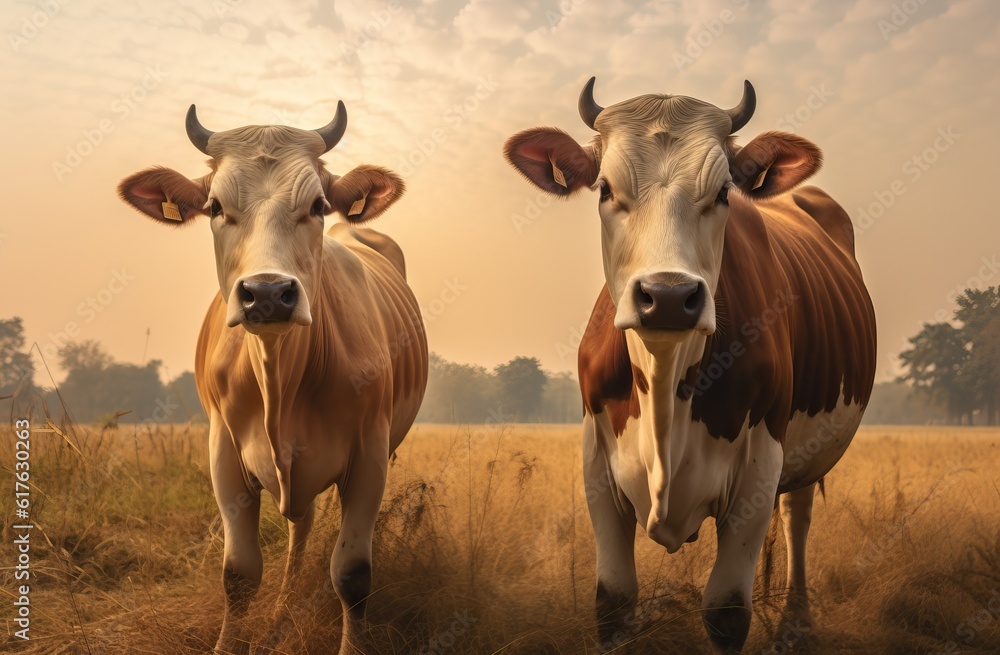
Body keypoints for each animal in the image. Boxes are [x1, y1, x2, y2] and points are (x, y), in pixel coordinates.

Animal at [118, 102, 430, 655]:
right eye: (215, 207)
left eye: (318, 204)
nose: (267, 293)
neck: (279, 378)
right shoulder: (222, 452)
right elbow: (240, 575)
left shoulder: (370, 454)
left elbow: (353, 574)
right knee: (299, 529)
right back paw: (282, 610)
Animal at [504, 79, 872, 652]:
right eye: (604, 189)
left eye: (723, 192)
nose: (669, 297)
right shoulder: (596, 464)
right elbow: (613, 605)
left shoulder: (759, 467)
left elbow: (726, 612)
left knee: (798, 515)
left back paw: (795, 622)